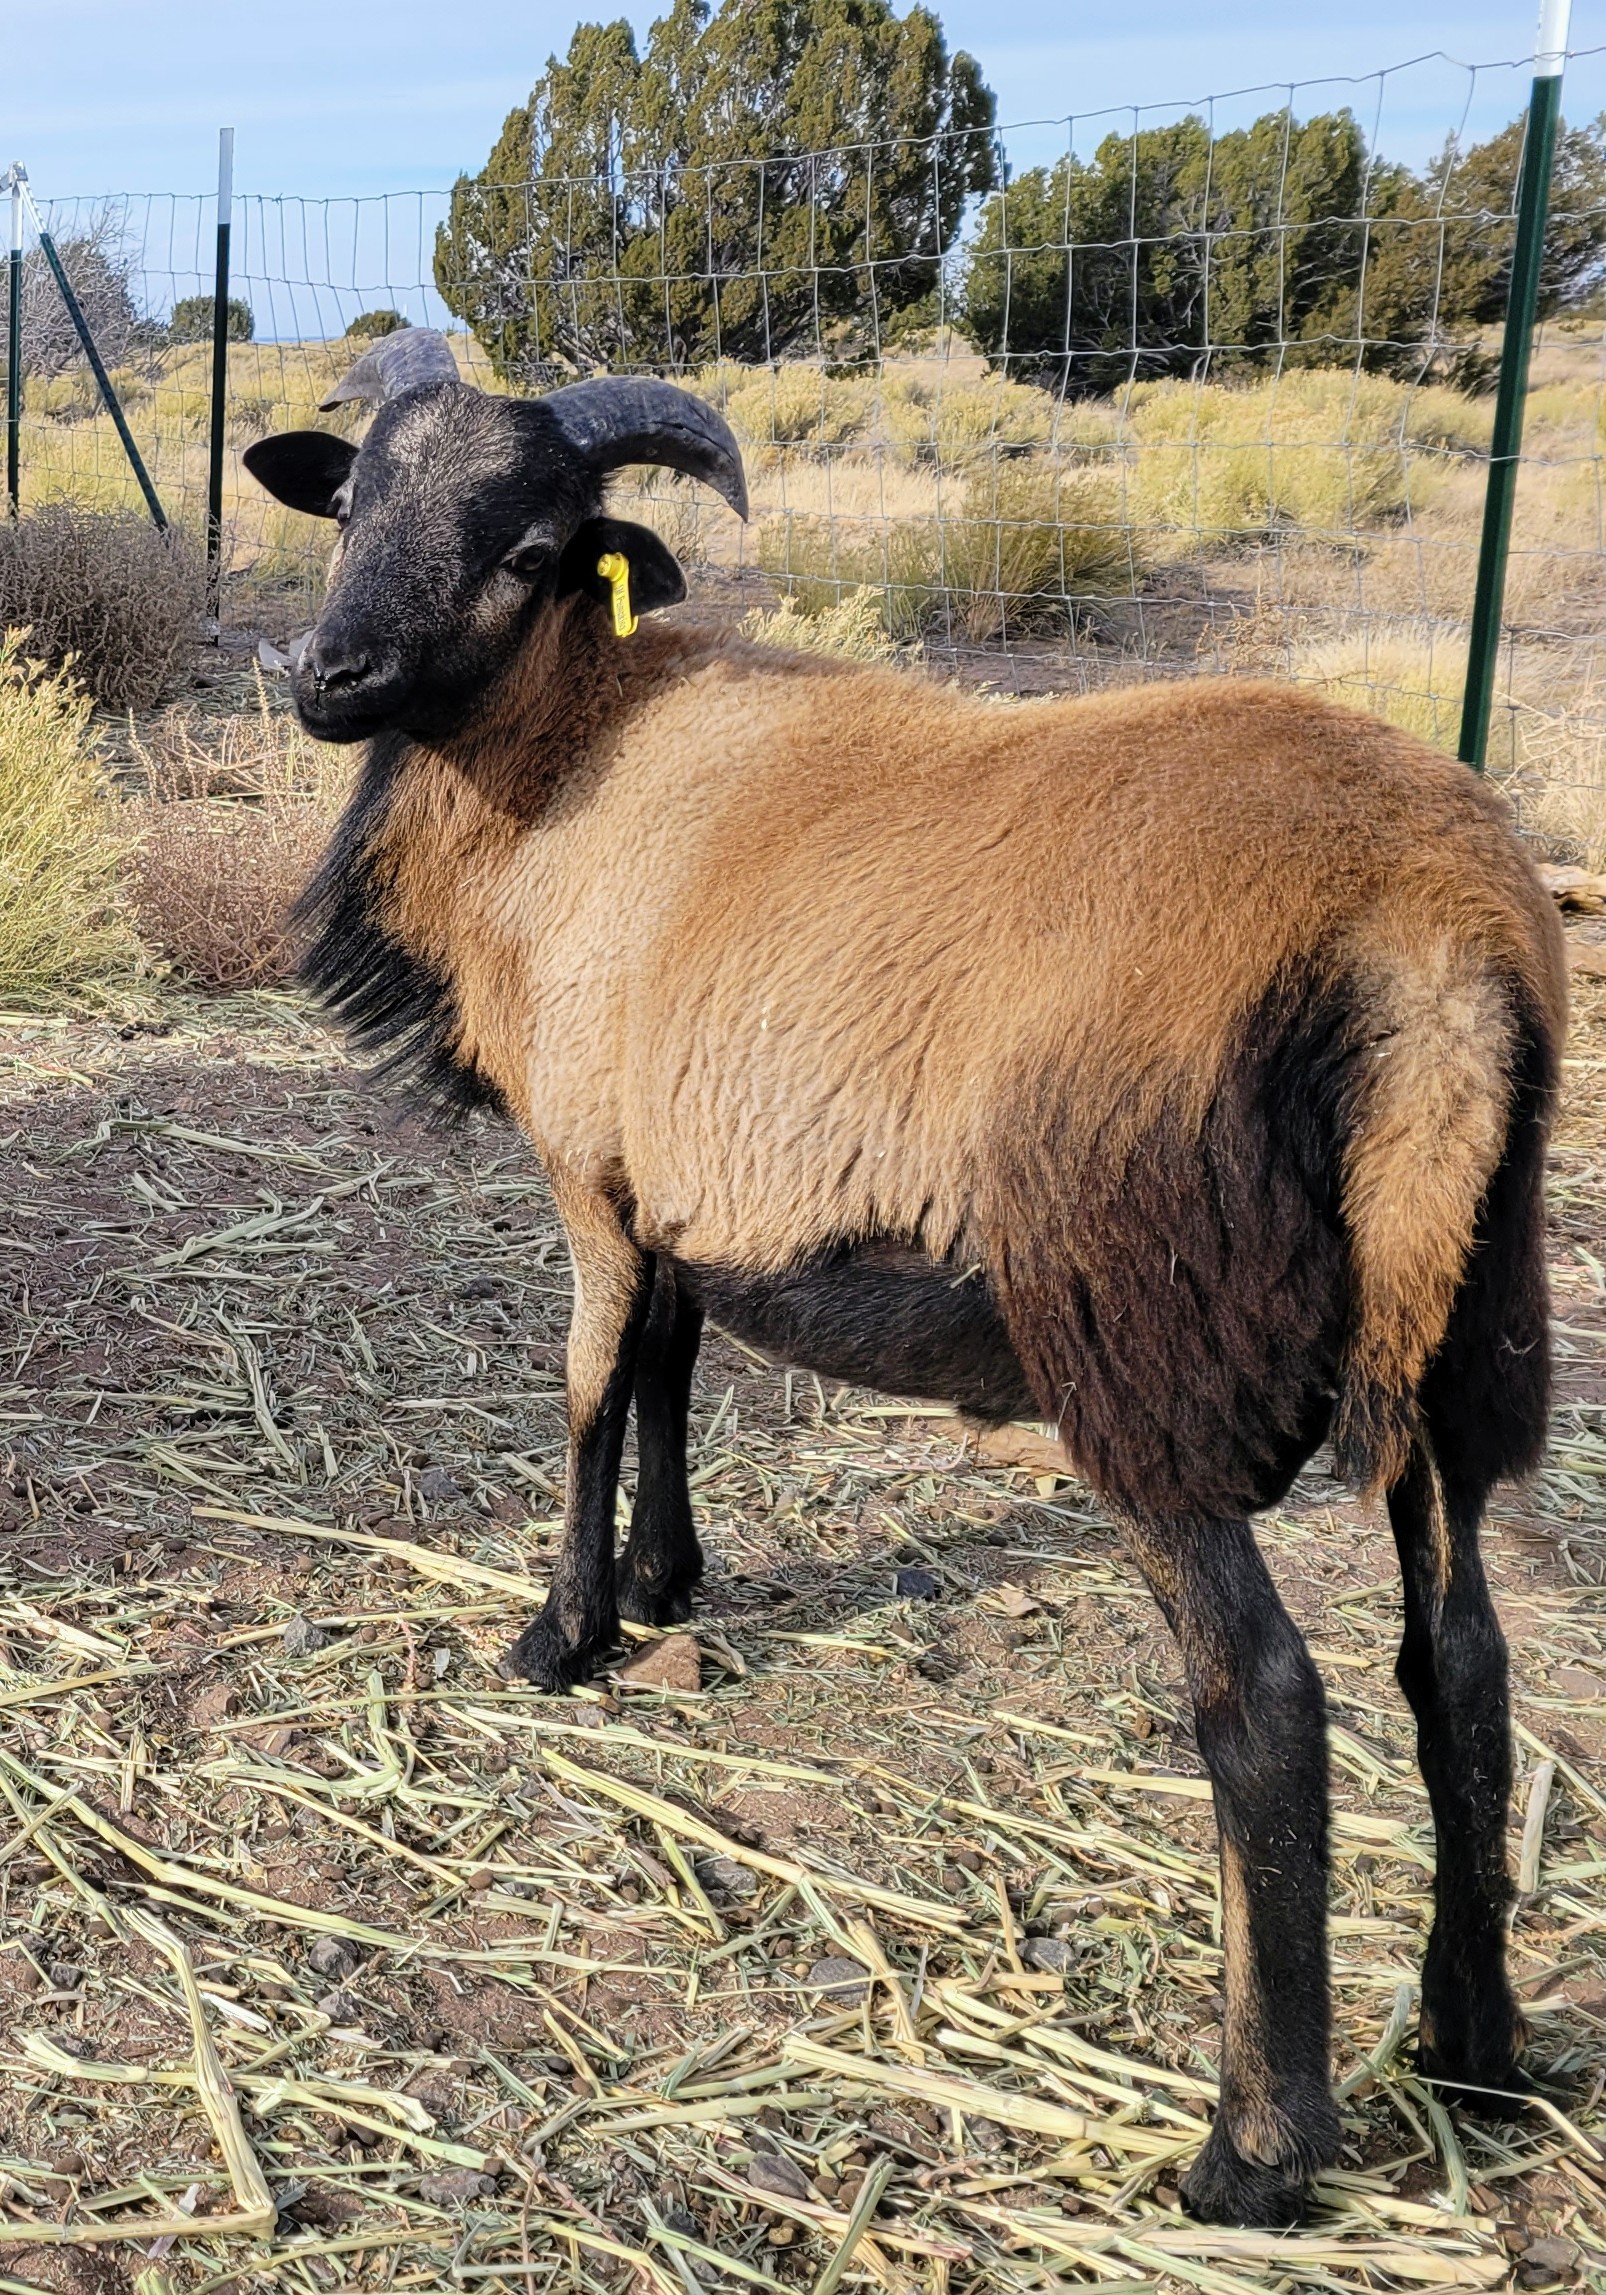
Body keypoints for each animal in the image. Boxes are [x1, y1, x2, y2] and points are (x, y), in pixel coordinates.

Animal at [243, 338, 1566, 2230]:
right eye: (349, 501)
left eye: (534, 545)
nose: (329, 679)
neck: (571, 758)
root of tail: (1431, 944)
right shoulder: (688, 1174)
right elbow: (671, 1365)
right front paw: (668, 1580)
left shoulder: (591, 1166)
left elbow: (586, 1389)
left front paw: (563, 1631)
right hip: (1468, 1323)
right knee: (1456, 1662)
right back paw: (1474, 2045)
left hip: (1140, 1333)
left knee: (1265, 1699)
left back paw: (1250, 2148)